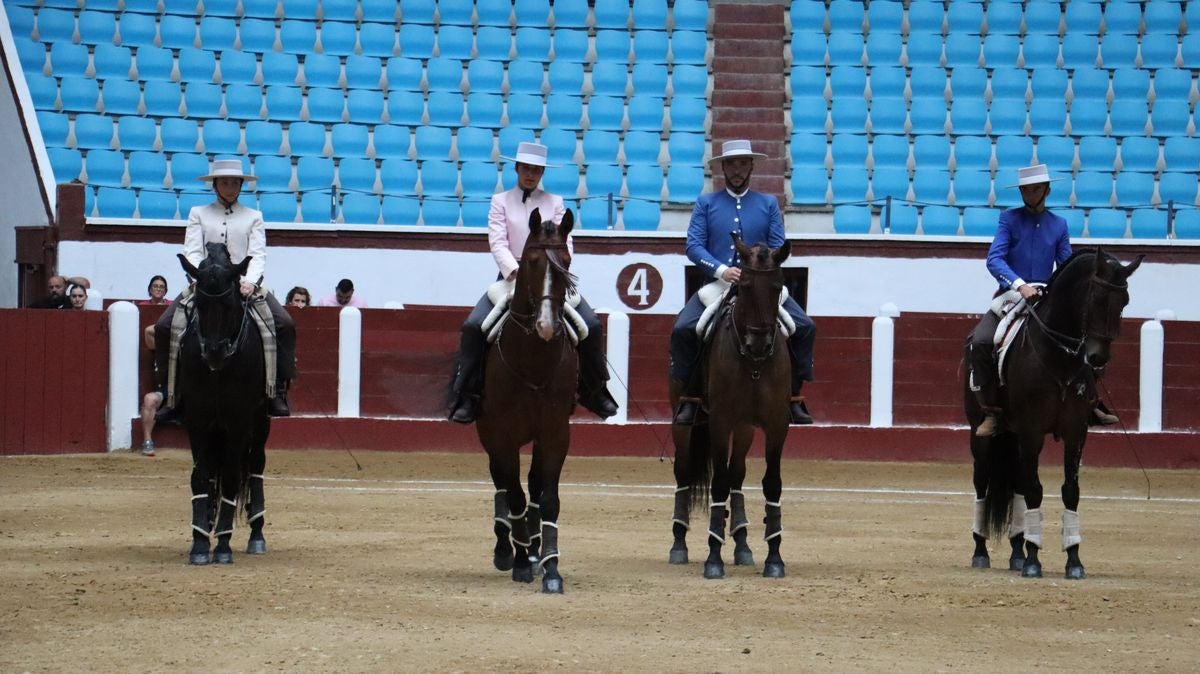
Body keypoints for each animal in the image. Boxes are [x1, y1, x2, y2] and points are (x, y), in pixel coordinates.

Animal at [176, 242, 272, 565]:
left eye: (230, 303)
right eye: (200, 304)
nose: (215, 353)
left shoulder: (238, 421)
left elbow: (230, 479)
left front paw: (223, 545)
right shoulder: (197, 420)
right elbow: (201, 478)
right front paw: (199, 543)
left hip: (261, 422)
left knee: (255, 467)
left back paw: (256, 535)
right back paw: (207, 524)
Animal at [476, 208, 580, 594]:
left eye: (566, 261)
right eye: (532, 262)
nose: (547, 326)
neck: (531, 362)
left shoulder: (555, 433)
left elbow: (546, 497)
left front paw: (550, 568)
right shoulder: (502, 435)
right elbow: (515, 496)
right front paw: (520, 561)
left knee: (532, 484)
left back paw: (533, 551)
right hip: (489, 435)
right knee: (502, 485)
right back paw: (508, 549)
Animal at [670, 233, 793, 579]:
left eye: (778, 286)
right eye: (746, 285)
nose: (759, 344)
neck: (753, 364)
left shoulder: (776, 424)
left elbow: (771, 484)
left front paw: (774, 558)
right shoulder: (720, 422)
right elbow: (718, 484)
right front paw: (713, 558)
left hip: (745, 429)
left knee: (737, 474)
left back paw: (742, 544)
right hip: (684, 424)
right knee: (684, 474)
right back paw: (679, 544)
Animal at [965, 248, 1142, 579]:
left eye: (1124, 301)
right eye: (1096, 297)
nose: (1097, 358)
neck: (1058, 357)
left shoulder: (1076, 432)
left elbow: (1069, 491)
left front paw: (1073, 560)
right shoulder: (1032, 431)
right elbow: (1035, 491)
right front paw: (1034, 560)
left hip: (1014, 436)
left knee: (1017, 485)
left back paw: (1017, 551)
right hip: (980, 435)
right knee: (982, 483)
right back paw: (981, 551)